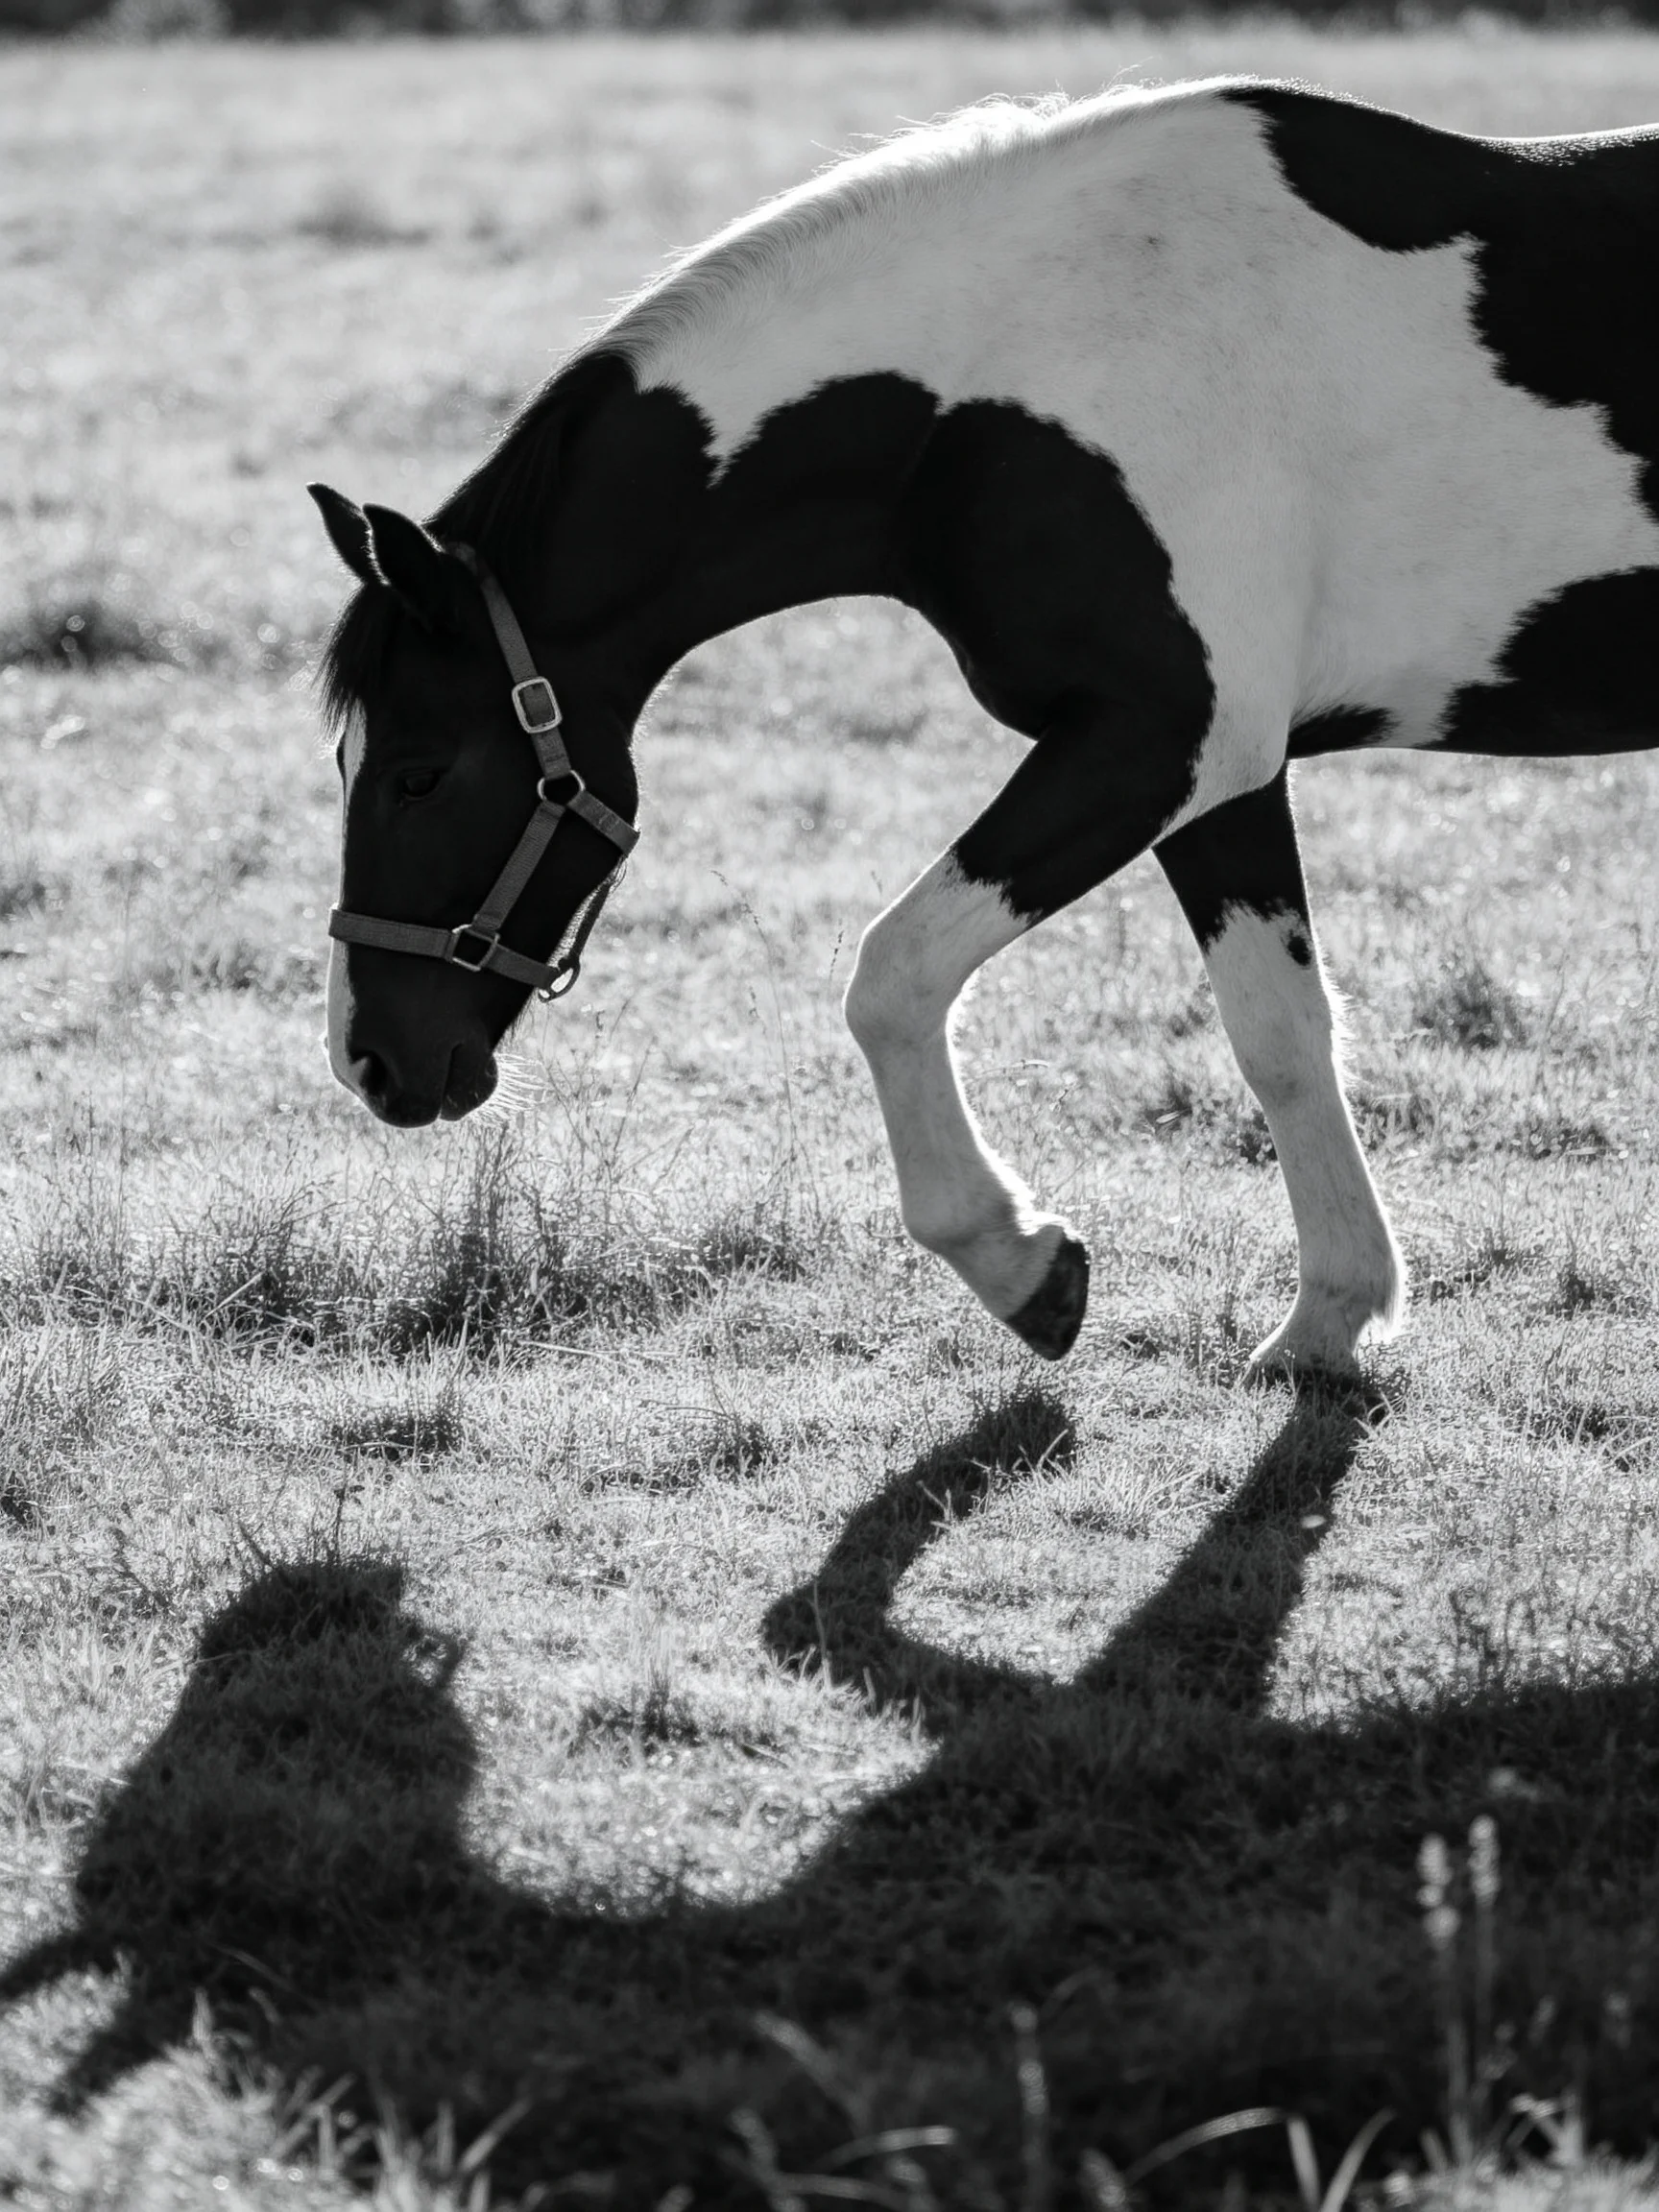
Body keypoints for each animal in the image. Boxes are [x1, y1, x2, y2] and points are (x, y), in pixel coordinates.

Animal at [311, 75, 1659, 1377]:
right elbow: (1280, 1033)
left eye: (421, 776)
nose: (370, 1061)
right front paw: (1332, 1316)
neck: (996, 395)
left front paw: (1021, 1264)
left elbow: (892, 977)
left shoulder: (1150, 744)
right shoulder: (1220, 776)